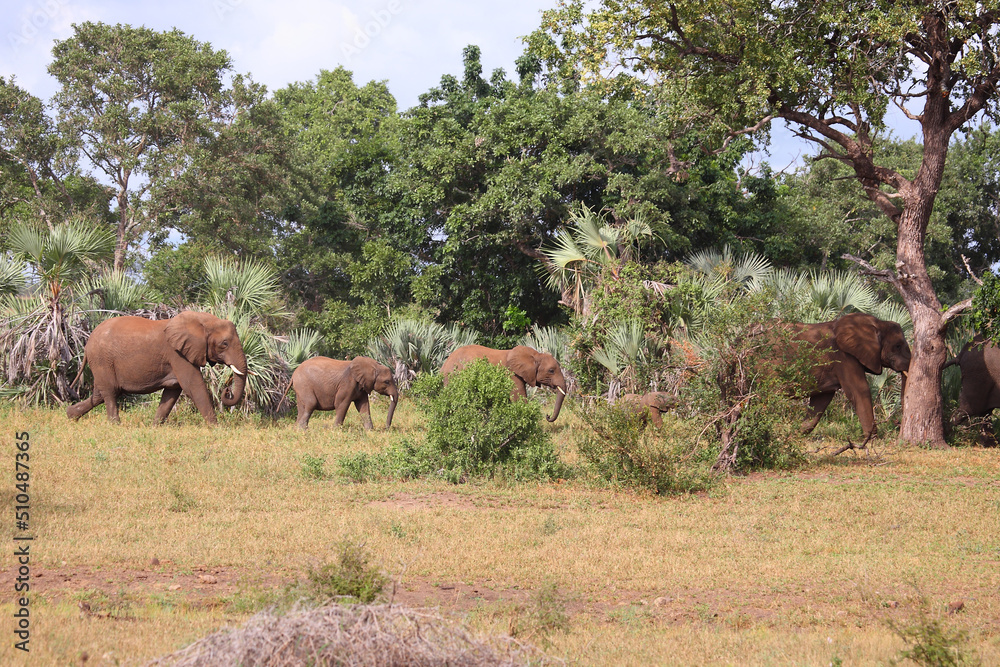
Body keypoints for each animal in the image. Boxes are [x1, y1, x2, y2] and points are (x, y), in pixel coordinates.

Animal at [67, 311, 247, 424]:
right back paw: (115, 425)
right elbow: (193, 386)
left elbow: (172, 391)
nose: (227, 390)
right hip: (102, 360)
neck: (202, 320)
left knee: (100, 394)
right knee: (110, 392)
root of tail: (87, 343)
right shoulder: (177, 354)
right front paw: (216, 428)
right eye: (224, 344)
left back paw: (71, 416)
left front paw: (155, 427)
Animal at [784, 312, 911, 442]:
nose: (897, 424)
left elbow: (821, 399)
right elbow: (860, 390)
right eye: (898, 346)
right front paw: (871, 442)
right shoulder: (844, 356)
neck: (878, 323)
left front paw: (794, 436)